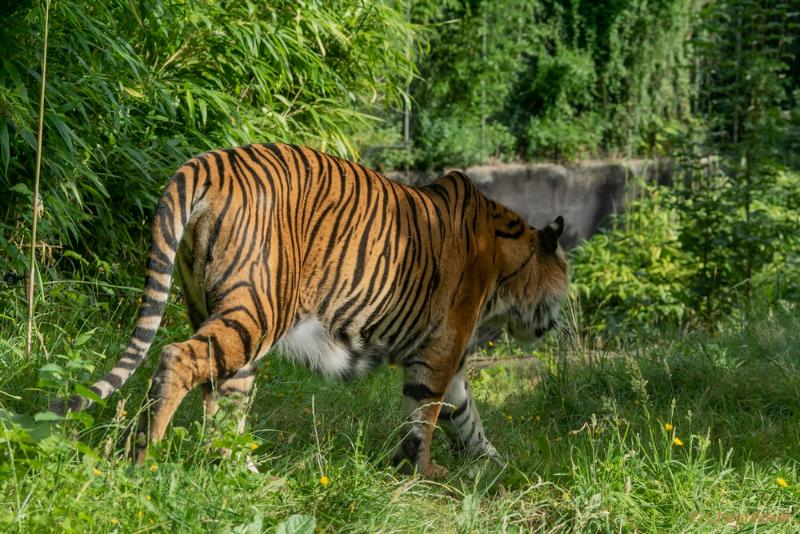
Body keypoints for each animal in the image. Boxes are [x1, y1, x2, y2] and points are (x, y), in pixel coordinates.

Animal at [53, 143, 564, 482]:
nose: (556, 322)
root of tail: (209, 162)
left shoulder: (450, 358)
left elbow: (466, 414)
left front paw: (497, 464)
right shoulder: (441, 348)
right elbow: (427, 415)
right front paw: (425, 472)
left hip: (224, 318)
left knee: (223, 401)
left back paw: (249, 473)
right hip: (258, 308)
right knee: (177, 359)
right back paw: (145, 461)